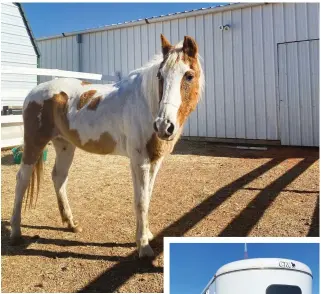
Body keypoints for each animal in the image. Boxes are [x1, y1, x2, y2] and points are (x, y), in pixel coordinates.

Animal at [11, 34, 205, 258]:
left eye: (189, 76)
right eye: (160, 76)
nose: (164, 125)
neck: (144, 103)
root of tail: (32, 93)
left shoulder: (154, 162)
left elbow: (146, 197)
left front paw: (145, 236)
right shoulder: (140, 161)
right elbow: (141, 201)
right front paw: (143, 246)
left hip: (65, 145)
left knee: (59, 177)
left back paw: (71, 223)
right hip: (35, 143)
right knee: (22, 179)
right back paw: (16, 233)